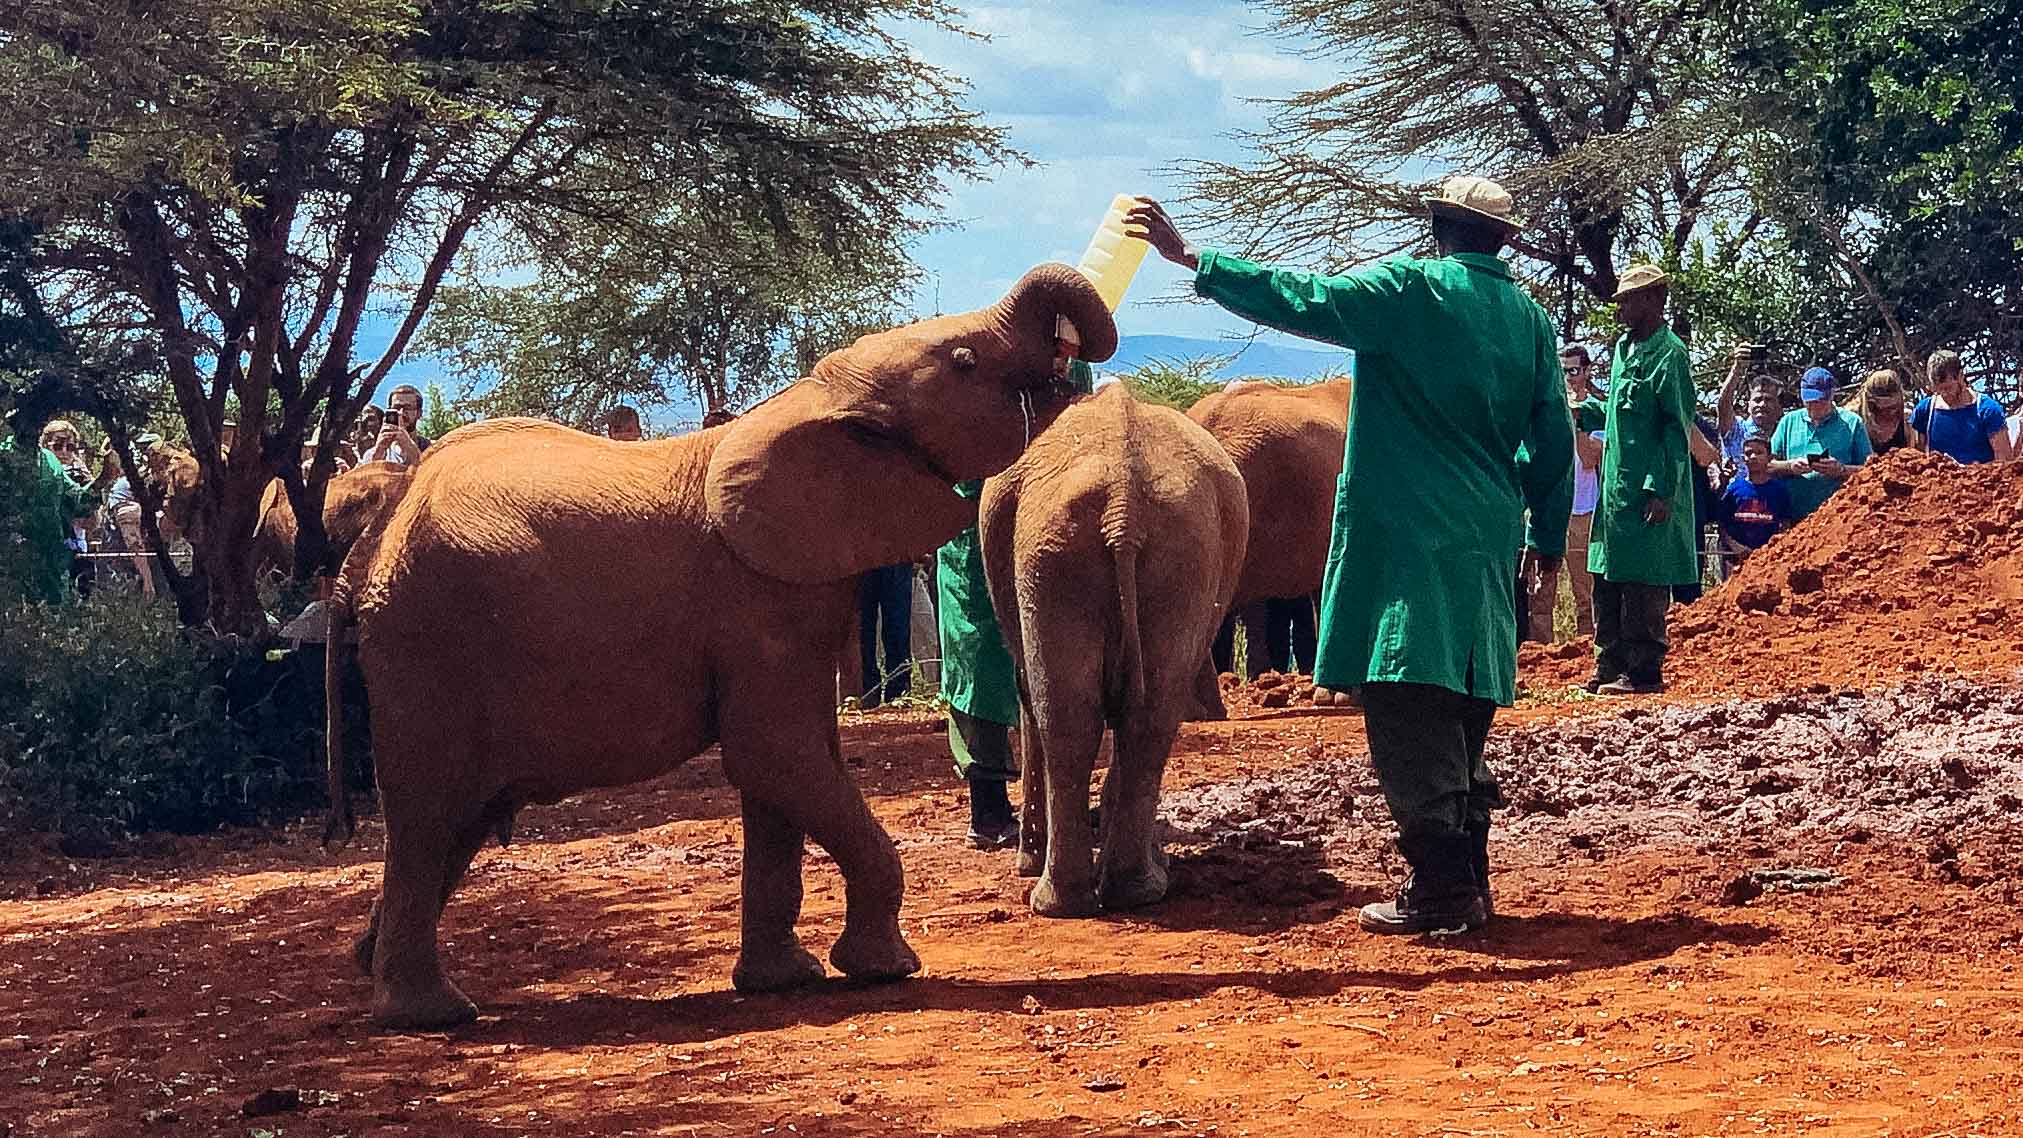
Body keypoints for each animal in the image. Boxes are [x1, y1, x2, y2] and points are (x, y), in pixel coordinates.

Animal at [323, 264, 1117, 1029]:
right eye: (964, 361)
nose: (1070, 355)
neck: (809, 402)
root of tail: (364, 550)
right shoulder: (756, 597)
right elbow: (775, 755)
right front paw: (887, 970)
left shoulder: (788, 593)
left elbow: (786, 771)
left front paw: (785, 981)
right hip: (427, 644)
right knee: (428, 814)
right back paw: (431, 1015)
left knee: (458, 820)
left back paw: (370, 964)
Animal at [979, 384, 1248, 917]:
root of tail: (1123, 505)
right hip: (1137, 553)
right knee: (1132, 715)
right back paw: (1120, 891)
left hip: (1065, 554)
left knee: (1082, 716)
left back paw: (1080, 895)